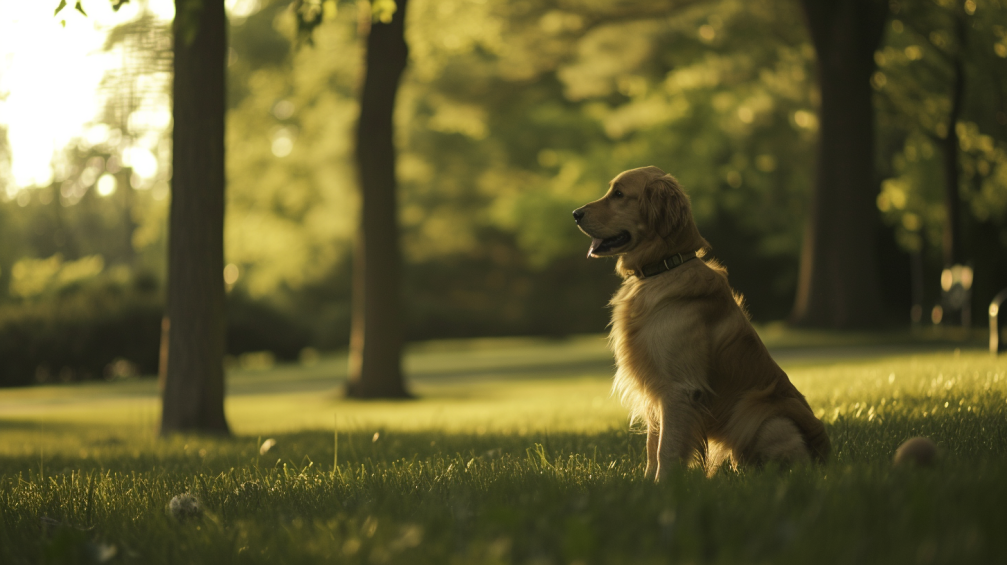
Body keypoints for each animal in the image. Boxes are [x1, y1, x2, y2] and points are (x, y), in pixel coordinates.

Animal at [571, 165, 829, 477]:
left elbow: (667, 449)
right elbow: (652, 447)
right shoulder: (657, 388)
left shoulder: (680, 388)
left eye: (619, 194)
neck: (663, 268)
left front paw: (664, 484)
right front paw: (647, 483)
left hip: (763, 417)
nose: (575, 214)